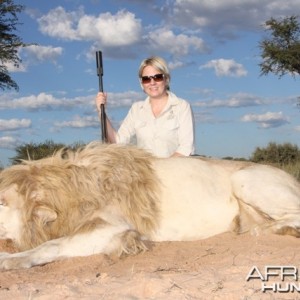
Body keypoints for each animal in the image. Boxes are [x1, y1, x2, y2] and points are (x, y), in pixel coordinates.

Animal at [0, 142, 300, 270]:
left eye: (2, 201)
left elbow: (51, 245)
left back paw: (264, 231)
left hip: (245, 179)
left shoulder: (117, 229)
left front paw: (8, 261)